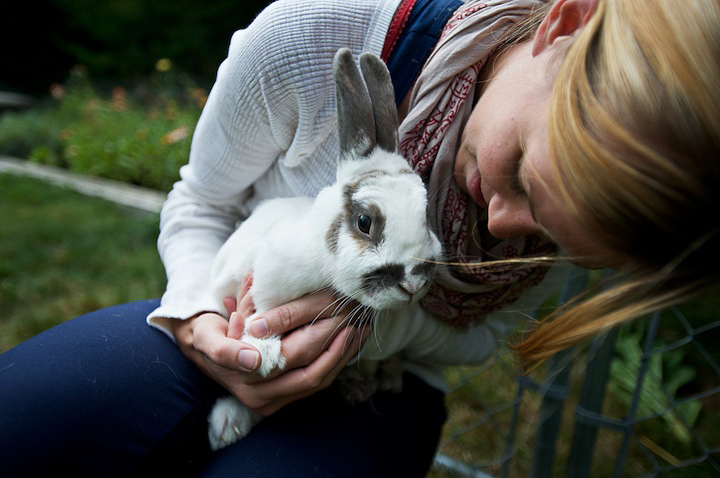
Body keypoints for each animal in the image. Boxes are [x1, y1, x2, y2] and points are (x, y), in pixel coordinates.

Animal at [207, 48, 444, 452]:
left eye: (427, 215)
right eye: (364, 222)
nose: (412, 286)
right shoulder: (267, 284)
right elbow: (259, 326)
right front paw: (263, 354)